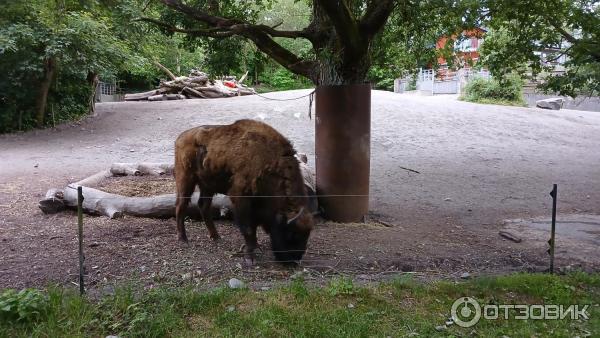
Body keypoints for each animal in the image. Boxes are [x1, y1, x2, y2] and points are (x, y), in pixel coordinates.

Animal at [173, 119, 314, 264]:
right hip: (186, 179)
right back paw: (183, 239)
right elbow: (248, 229)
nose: (294, 260)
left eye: (307, 235)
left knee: (203, 206)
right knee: (181, 206)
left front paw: (256, 247)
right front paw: (250, 257)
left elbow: (254, 226)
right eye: (291, 234)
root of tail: (181, 137)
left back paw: (216, 237)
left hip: (207, 186)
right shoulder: (241, 199)